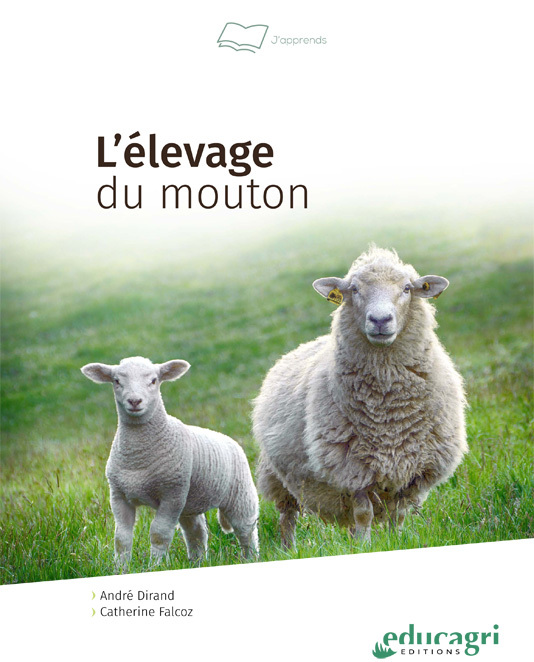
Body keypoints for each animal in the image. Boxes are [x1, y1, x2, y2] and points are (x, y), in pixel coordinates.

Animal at [81, 356, 259, 566]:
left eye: (153, 381)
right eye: (116, 381)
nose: (134, 401)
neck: (137, 457)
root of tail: (230, 440)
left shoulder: (172, 494)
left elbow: (159, 533)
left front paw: (154, 566)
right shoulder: (118, 495)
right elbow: (121, 538)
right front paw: (120, 568)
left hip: (240, 493)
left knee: (246, 529)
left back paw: (251, 558)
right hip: (190, 503)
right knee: (196, 532)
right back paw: (197, 562)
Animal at [253, 246, 467, 547]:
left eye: (407, 288)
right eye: (354, 289)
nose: (380, 320)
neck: (389, 411)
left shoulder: (414, 470)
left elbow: (399, 514)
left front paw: (395, 541)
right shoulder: (352, 470)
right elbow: (364, 513)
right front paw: (365, 547)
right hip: (276, 476)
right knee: (288, 515)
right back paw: (288, 548)